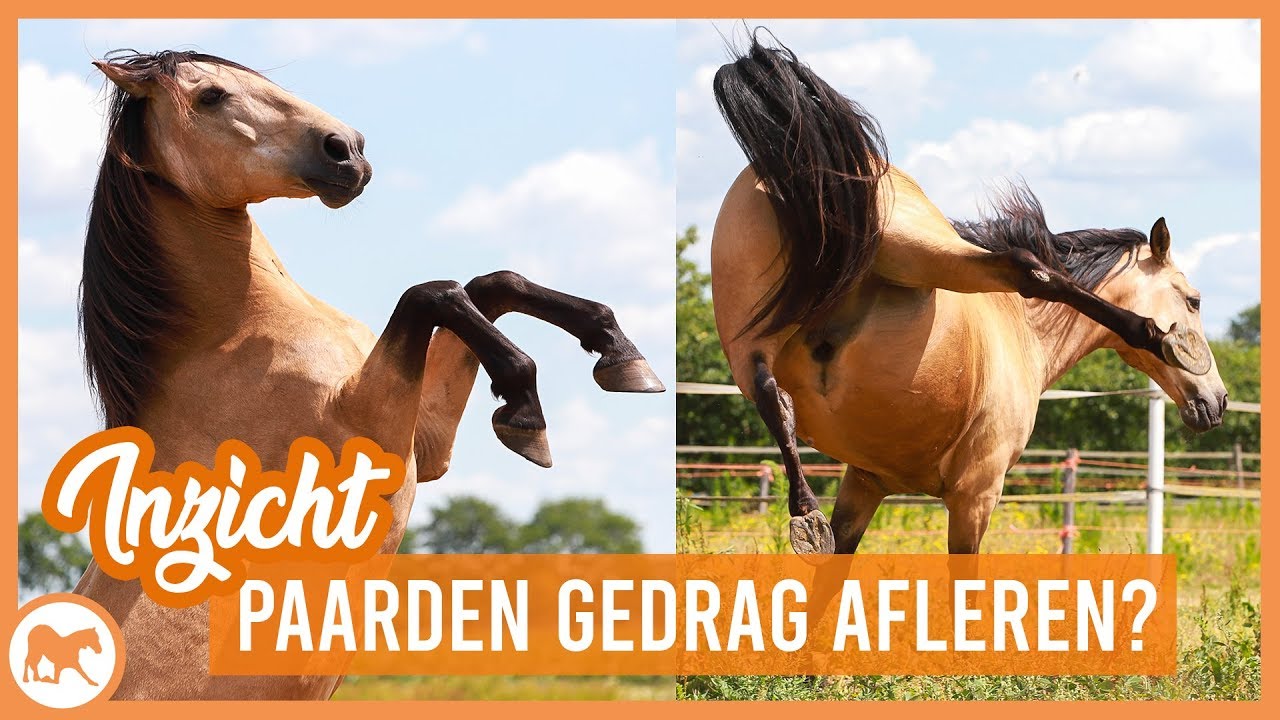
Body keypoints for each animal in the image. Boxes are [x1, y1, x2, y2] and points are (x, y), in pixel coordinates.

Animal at [70, 51, 663, 699]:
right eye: (209, 97)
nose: (346, 150)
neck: (234, 335)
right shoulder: (371, 429)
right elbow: (434, 292)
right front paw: (528, 406)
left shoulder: (426, 444)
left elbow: (491, 284)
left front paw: (617, 352)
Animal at [709, 38, 1228, 557]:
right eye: (1194, 300)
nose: (1218, 401)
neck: (1025, 333)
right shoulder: (976, 495)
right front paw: (1166, 338)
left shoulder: (865, 481)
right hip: (919, 248)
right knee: (1024, 266)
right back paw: (1151, 333)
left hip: (750, 338)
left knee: (772, 394)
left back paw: (805, 514)